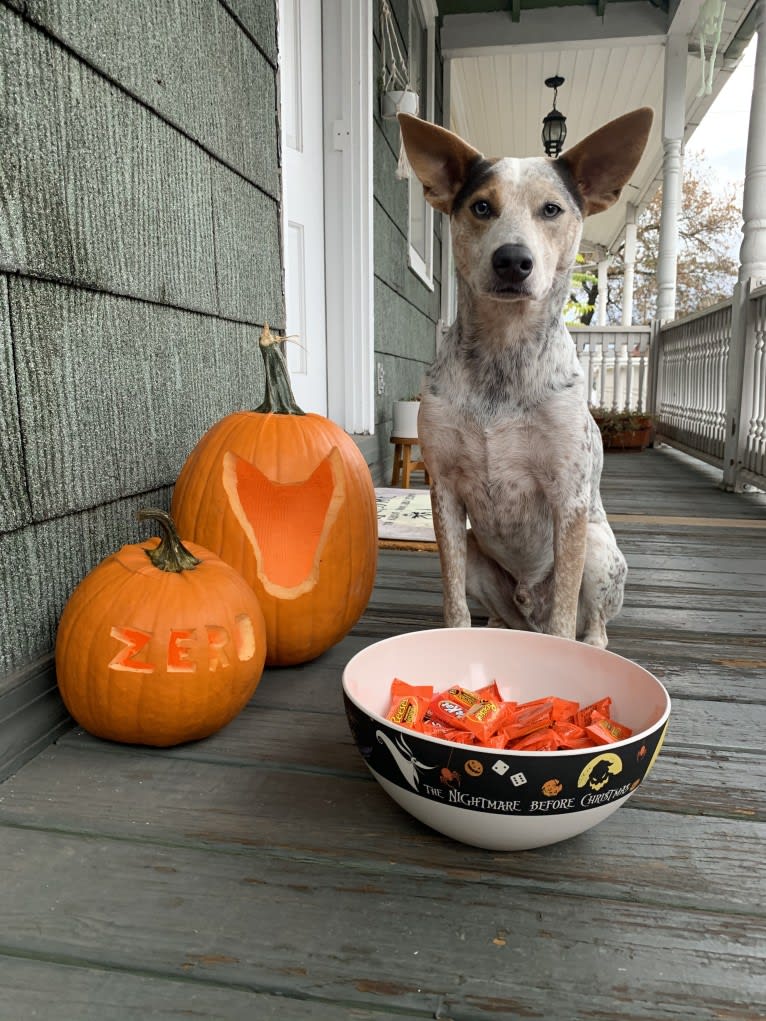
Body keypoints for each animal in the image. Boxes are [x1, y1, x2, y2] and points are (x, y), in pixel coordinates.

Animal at [396, 109, 653, 645]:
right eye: (481, 206)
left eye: (551, 209)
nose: (513, 260)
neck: (503, 354)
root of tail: (526, 603)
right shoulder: (443, 490)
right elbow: (453, 603)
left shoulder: (568, 497)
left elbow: (564, 621)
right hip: (479, 553)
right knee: (505, 616)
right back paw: (500, 624)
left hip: (598, 548)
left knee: (588, 625)